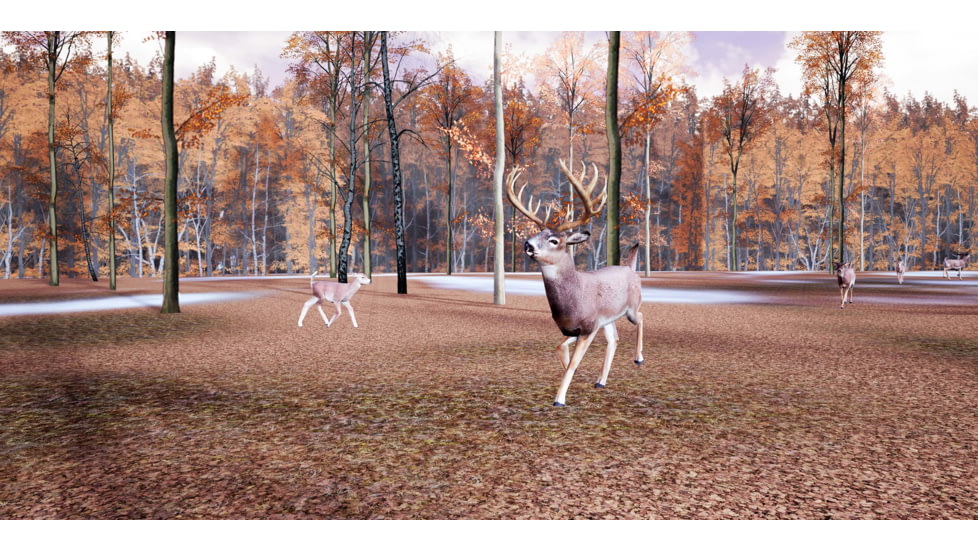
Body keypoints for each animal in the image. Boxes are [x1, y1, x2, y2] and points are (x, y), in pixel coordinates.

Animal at [506, 160, 644, 407]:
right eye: (538, 233)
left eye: (554, 240)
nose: (528, 244)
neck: (572, 300)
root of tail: (630, 268)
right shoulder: (574, 328)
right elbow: (560, 348)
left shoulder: (589, 326)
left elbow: (573, 364)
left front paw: (559, 399)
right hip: (608, 317)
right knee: (614, 339)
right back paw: (601, 381)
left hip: (631, 307)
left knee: (641, 317)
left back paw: (638, 358)